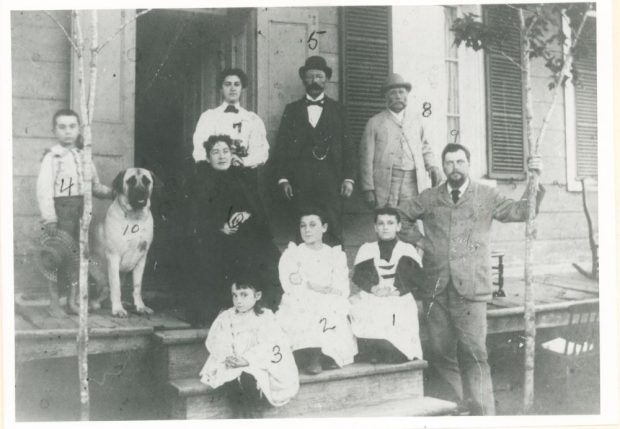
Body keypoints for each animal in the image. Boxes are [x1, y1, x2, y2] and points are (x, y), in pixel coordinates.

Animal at [91, 169, 156, 316]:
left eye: (147, 181)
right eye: (130, 181)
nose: (140, 192)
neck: (135, 218)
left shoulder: (142, 257)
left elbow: (137, 286)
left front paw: (140, 306)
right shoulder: (113, 257)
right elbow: (115, 286)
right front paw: (118, 309)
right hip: (98, 277)